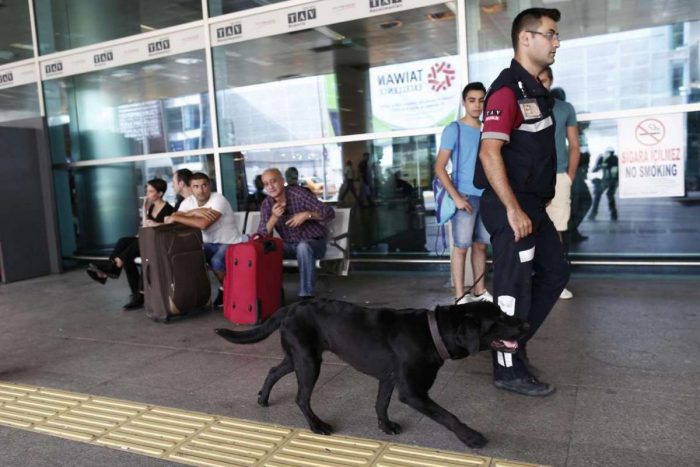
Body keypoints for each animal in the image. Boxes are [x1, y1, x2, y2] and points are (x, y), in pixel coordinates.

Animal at [216, 300, 528, 450]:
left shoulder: (388, 379)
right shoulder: (413, 392)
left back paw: (263, 398)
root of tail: (292, 306)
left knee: (272, 371)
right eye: (499, 320)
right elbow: (448, 416)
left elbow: (381, 403)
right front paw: (471, 437)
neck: (433, 332)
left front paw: (385, 426)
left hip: (297, 358)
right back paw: (317, 426)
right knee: (301, 398)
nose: (525, 324)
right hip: (308, 361)